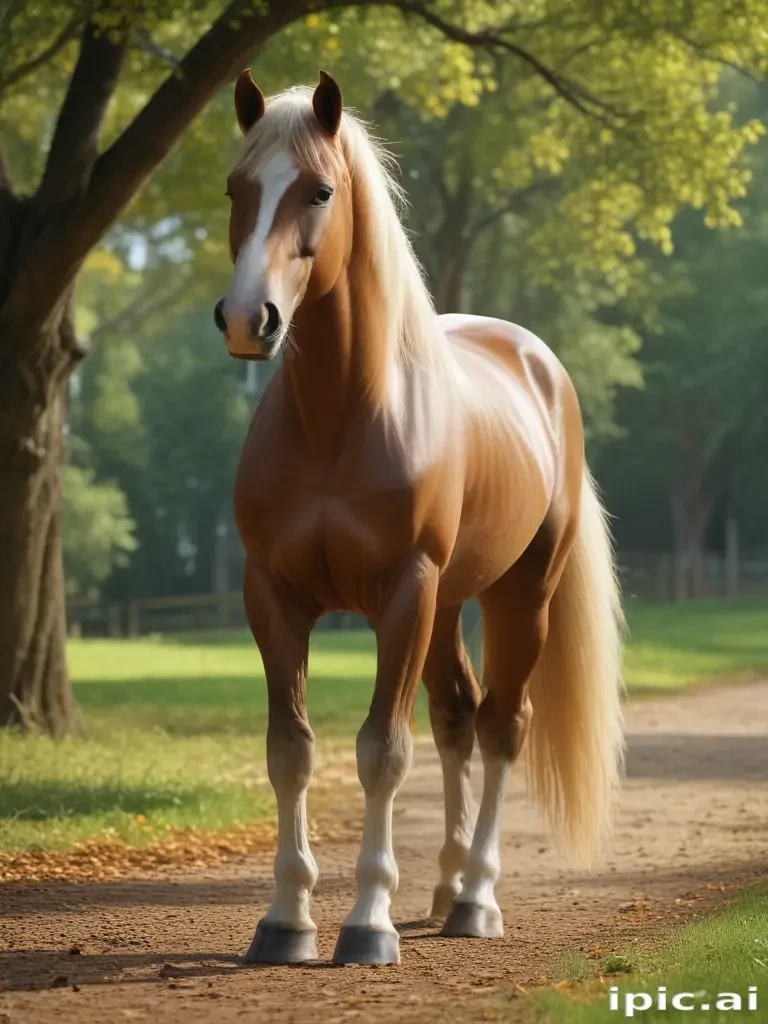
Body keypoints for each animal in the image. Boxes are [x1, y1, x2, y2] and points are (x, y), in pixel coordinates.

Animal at [214, 69, 625, 967]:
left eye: (320, 191)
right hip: (449, 604)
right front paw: (286, 919)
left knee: (503, 725)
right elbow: (291, 750)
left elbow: (382, 750)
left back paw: (476, 900)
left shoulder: (404, 593)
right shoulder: (273, 597)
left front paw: (366, 921)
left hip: (515, 597)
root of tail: (538, 363)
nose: (247, 319)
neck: (341, 417)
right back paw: (442, 887)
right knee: (458, 718)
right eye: (235, 188)